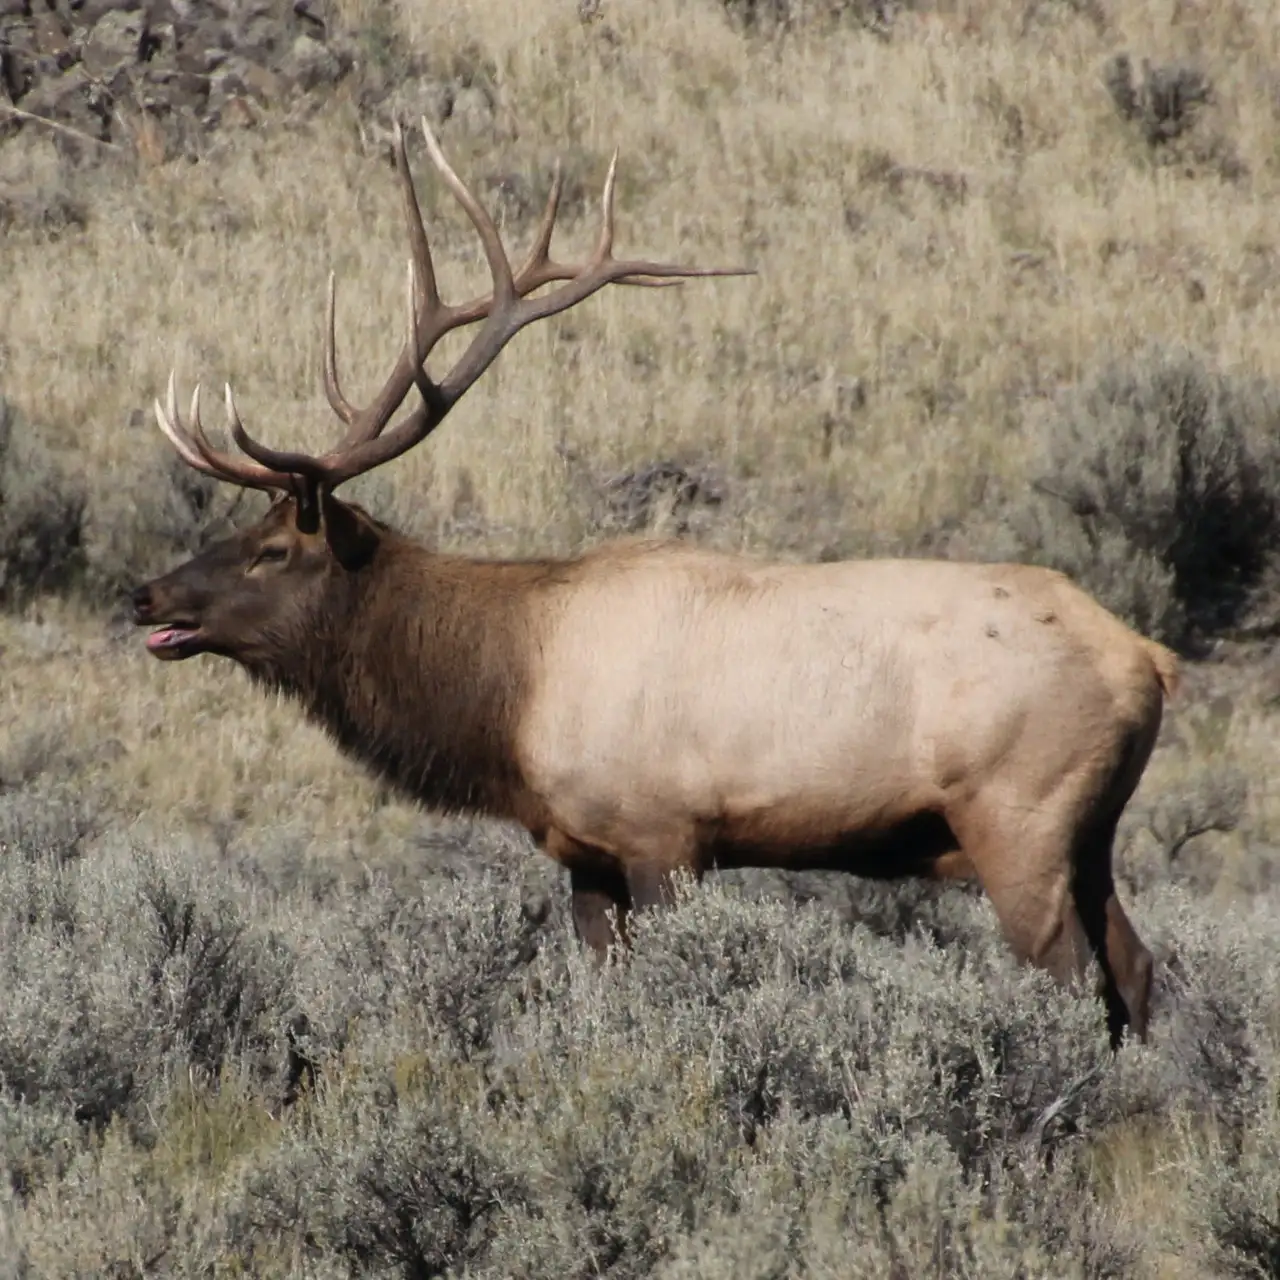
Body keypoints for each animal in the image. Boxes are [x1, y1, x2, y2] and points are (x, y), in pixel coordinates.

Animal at [132, 117, 1177, 1039]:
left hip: (1019, 814)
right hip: (1089, 830)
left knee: (1075, 979)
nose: (148, 595)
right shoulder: (583, 853)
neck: (508, 696)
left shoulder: (664, 833)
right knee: (1134, 968)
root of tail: (1149, 660)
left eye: (273, 548)